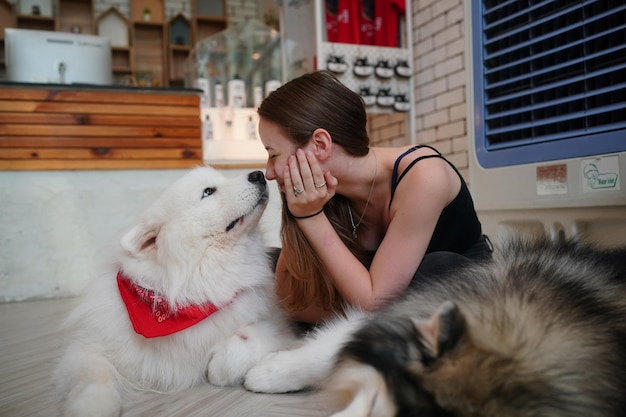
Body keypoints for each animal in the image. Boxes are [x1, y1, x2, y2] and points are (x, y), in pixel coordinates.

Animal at [53, 167, 294, 416]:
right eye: (208, 191)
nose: (258, 174)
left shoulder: (278, 324)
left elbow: (243, 341)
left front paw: (219, 367)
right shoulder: (91, 347)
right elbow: (94, 375)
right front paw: (91, 406)